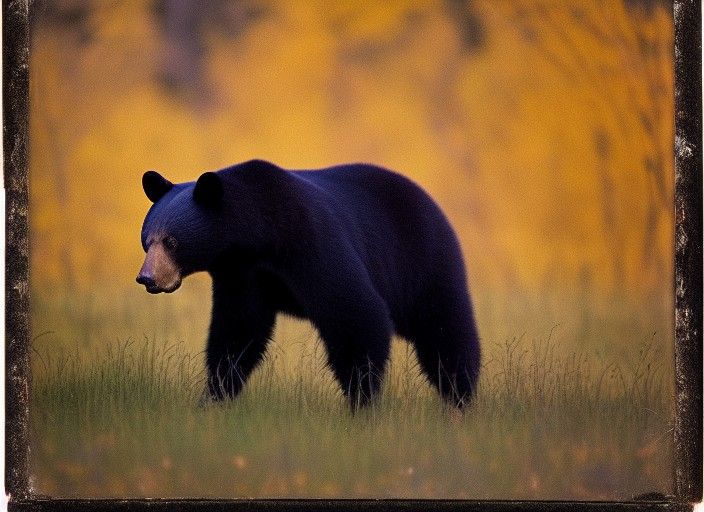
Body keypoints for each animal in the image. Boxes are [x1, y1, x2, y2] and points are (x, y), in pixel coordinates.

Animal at [137, 159, 481, 409]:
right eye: (146, 240)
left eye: (171, 241)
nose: (147, 278)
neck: (258, 236)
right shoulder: (242, 275)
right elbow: (237, 333)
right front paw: (213, 396)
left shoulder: (310, 241)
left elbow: (356, 312)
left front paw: (361, 400)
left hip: (422, 261)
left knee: (445, 329)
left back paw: (460, 396)